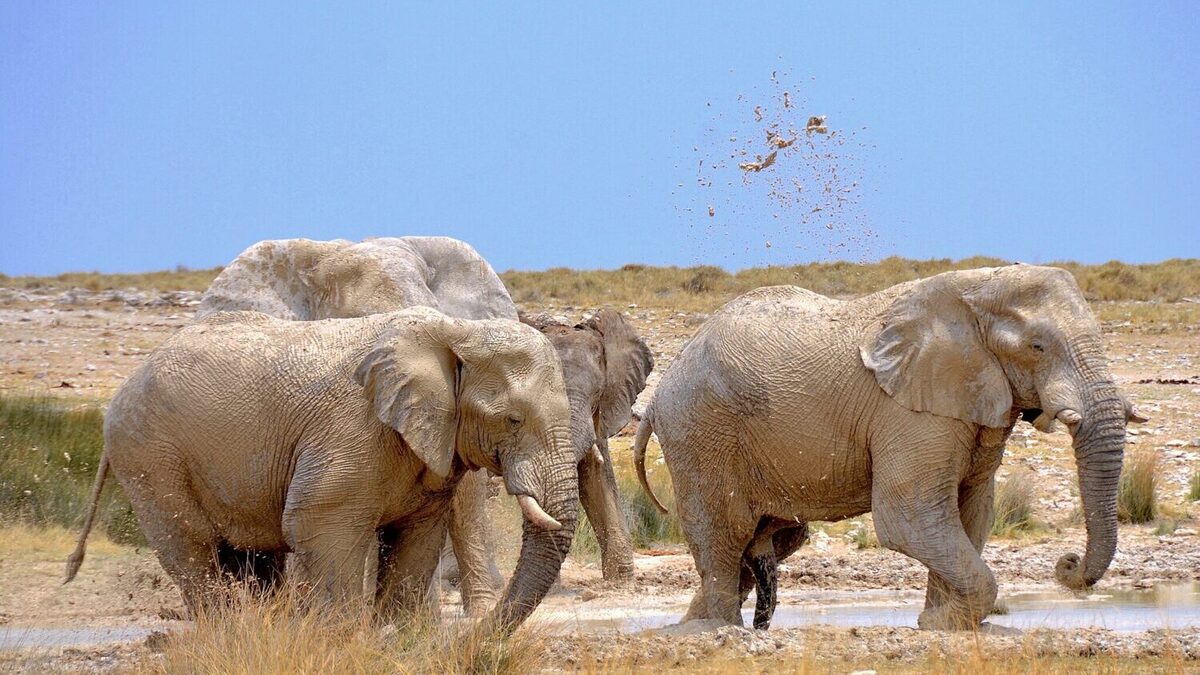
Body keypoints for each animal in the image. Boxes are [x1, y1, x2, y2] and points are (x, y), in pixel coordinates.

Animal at [65, 306, 576, 629]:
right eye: (512, 419)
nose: (476, 634)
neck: (457, 330)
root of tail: (125, 385)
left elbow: (416, 539)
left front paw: (397, 638)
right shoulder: (351, 429)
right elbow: (319, 523)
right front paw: (342, 640)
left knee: (250, 558)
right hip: (150, 459)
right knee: (191, 549)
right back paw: (229, 634)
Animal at [633, 265, 1147, 629]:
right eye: (1037, 347)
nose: (1067, 563)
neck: (977, 288)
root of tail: (659, 393)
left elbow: (971, 514)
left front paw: (940, 624)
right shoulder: (909, 411)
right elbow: (911, 518)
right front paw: (946, 621)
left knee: (771, 540)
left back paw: (694, 624)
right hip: (700, 431)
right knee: (725, 532)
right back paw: (716, 631)